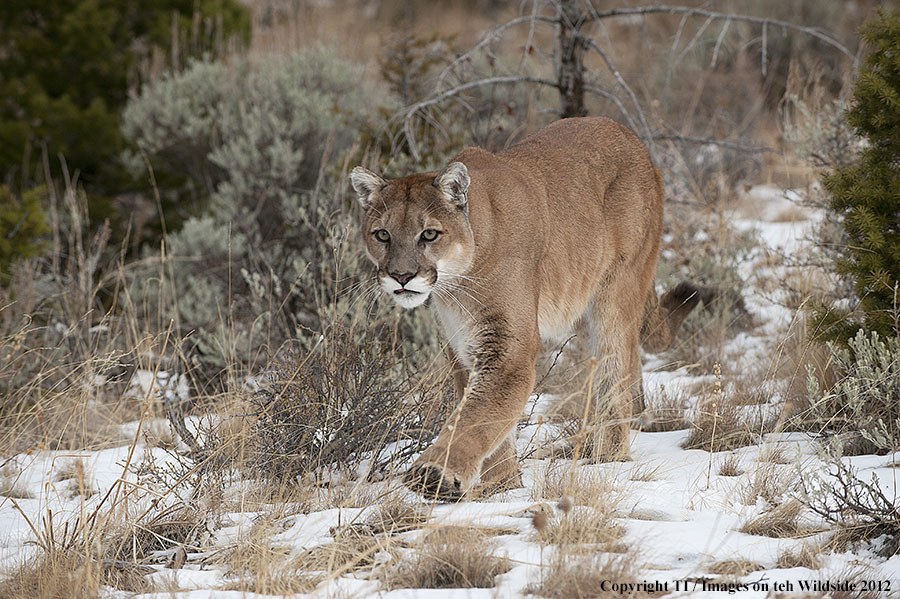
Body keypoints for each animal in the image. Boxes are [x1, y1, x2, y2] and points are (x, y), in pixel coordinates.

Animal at [348, 117, 700, 502]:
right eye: (382, 235)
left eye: (429, 234)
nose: (401, 275)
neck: (458, 284)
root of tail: (630, 135)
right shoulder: (464, 347)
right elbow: (485, 416)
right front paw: (500, 487)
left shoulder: (509, 350)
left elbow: (477, 415)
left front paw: (436, 473)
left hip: (616, 291)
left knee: (614, 374)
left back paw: (605, 460)